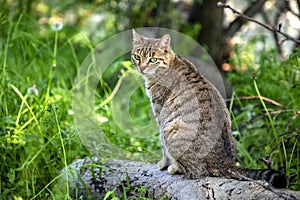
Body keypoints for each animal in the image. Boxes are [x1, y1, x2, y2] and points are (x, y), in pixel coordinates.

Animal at [131, 28, 288, 188]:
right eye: (137, 57)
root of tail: (225, 162)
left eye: (153, 59)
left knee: (195, 172)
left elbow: (162, 146)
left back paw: (175, 167)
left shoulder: (160, 113)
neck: (171, 63)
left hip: (172, 129)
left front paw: (164, 163)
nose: (141, 67)